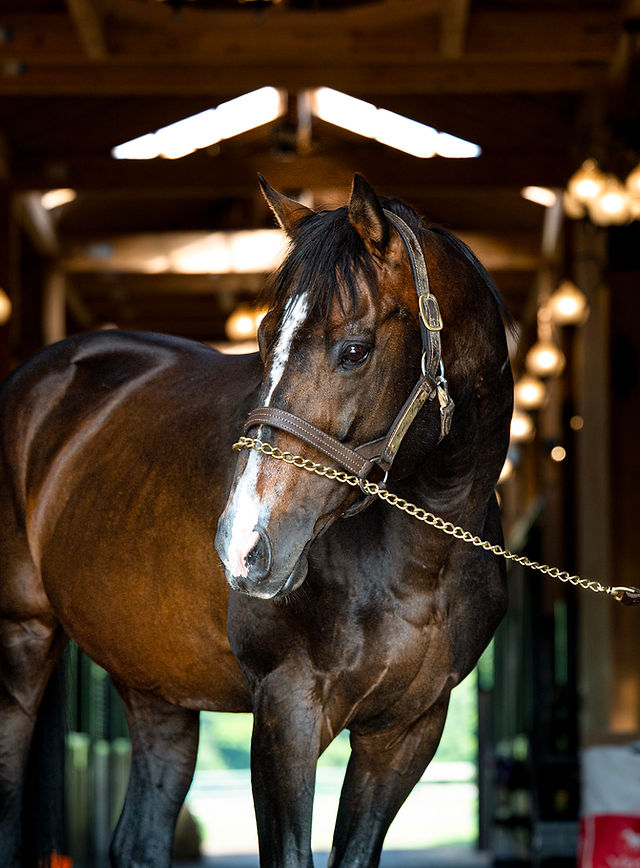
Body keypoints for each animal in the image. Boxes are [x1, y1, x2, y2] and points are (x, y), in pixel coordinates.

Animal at [0, 174, 513, 868]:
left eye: (355, 350)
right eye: (267, 340)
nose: (243, 544)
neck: (422, 562)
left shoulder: (407, 731)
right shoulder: (285, 710)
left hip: (157, 688)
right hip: (21, 646)